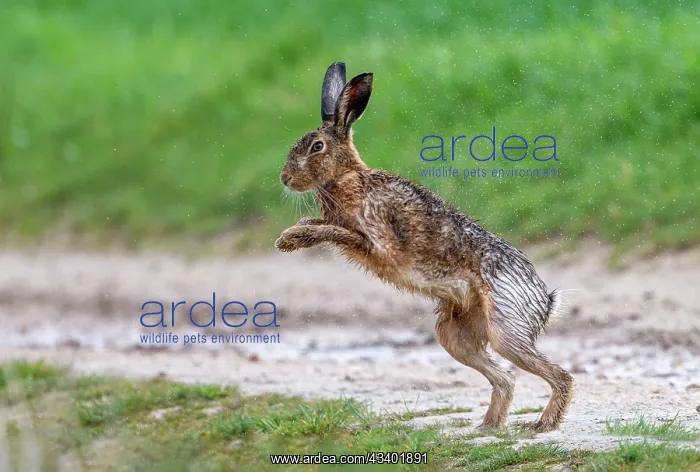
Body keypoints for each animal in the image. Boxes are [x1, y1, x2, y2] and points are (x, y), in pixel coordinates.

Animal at [275, 62, 574, 433]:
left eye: (317, 146)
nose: (285, 179)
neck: (347, 178)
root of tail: (543, 301)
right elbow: (318, 224)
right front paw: (288, 236)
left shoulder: (376, 238)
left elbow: (335, 232)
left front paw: (290, 240)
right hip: (454, 334)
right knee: (505, 378)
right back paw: (488, 426)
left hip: (505, 326)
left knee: (558, 375)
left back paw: (543, 424)